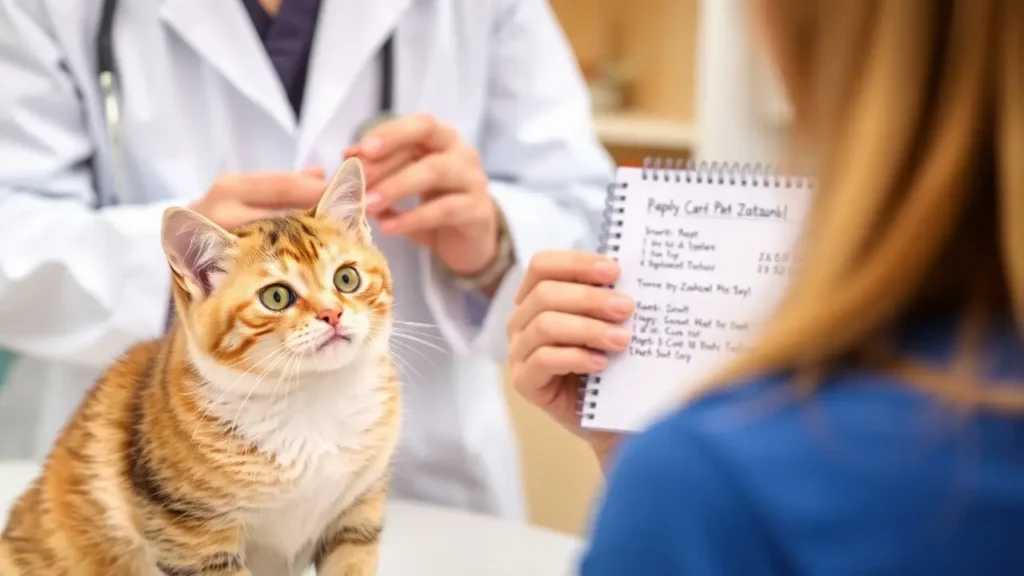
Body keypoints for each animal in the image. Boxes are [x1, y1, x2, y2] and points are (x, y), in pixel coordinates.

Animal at [0, 156, 399, 573]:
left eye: (346, 278)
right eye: (276, 297)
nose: (332, 314)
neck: (312, 399)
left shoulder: (357, 515)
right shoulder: (193, 539)